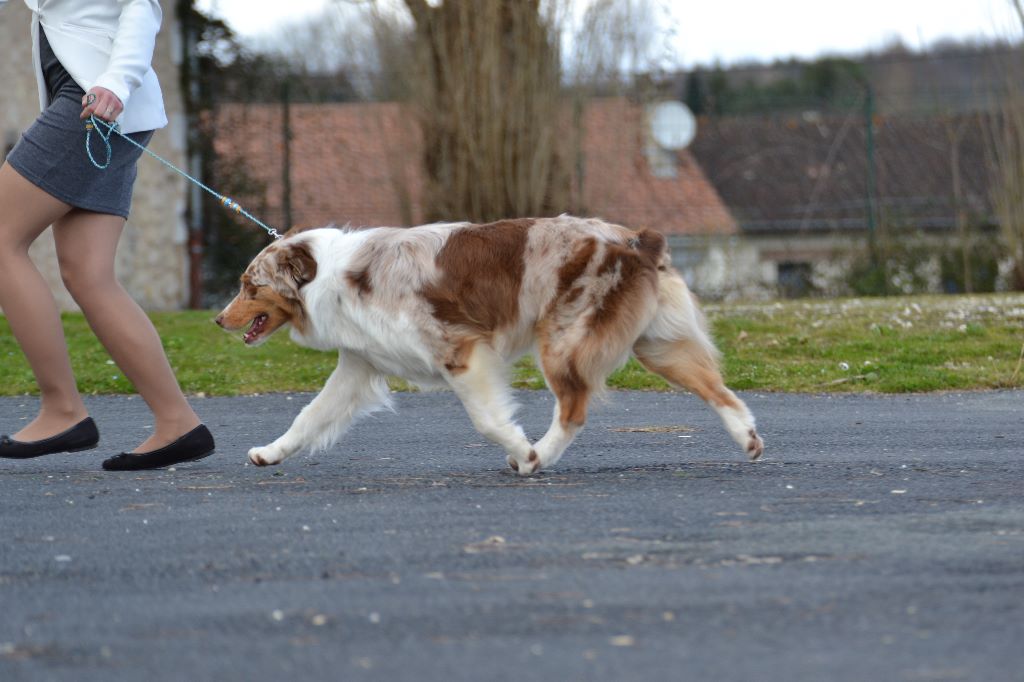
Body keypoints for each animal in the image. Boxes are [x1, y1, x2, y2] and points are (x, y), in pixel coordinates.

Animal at [216, 216, 761, 473]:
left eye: (248, 285)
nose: (218, 319)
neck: (328, 276)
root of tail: (634, 240)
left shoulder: (459, 350)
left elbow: (487, 419)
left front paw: (523, 452)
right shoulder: (358, 366)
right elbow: (309, 417)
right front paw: (270, 453)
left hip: (562, 340)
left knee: (574, 408)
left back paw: (542, 455)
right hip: (657, 346)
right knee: (718, 389)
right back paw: (748, 438)